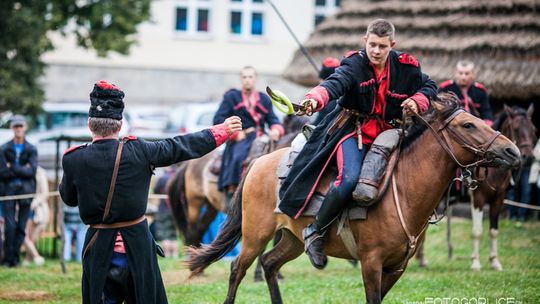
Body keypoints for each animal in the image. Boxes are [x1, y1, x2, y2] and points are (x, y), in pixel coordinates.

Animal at [186, 94, 520, 302]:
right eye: (468, 125)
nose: (512, 151)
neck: (403, 188)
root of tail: (259, 162)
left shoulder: (396, 268)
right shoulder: (371, 263)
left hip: (292, 239)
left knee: (269, 264)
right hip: (255, 235)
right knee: (238, 269)